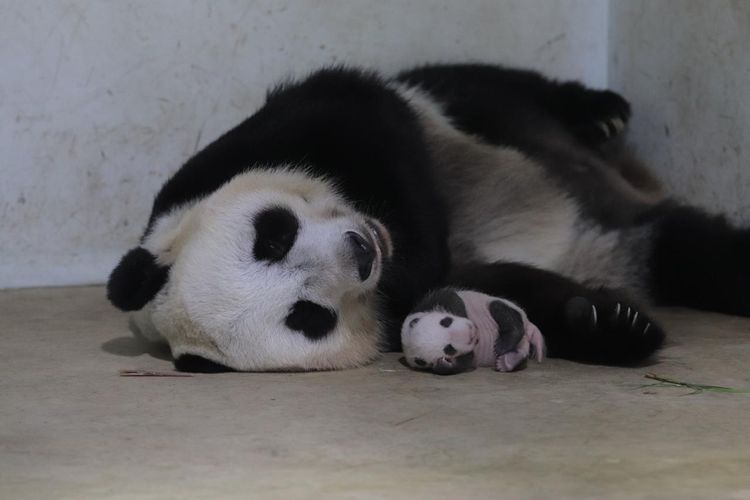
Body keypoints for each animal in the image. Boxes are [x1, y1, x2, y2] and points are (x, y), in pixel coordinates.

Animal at [107, 63, 750, 372]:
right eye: (308, 317)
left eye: (273, 236)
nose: (361, 252)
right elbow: (504, 289)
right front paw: (611, 323)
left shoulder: (231, 156)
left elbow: (358, 106)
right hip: (638, 240)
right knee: (696, 252)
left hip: (476, 112)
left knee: (478, 85)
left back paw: (599, 112)